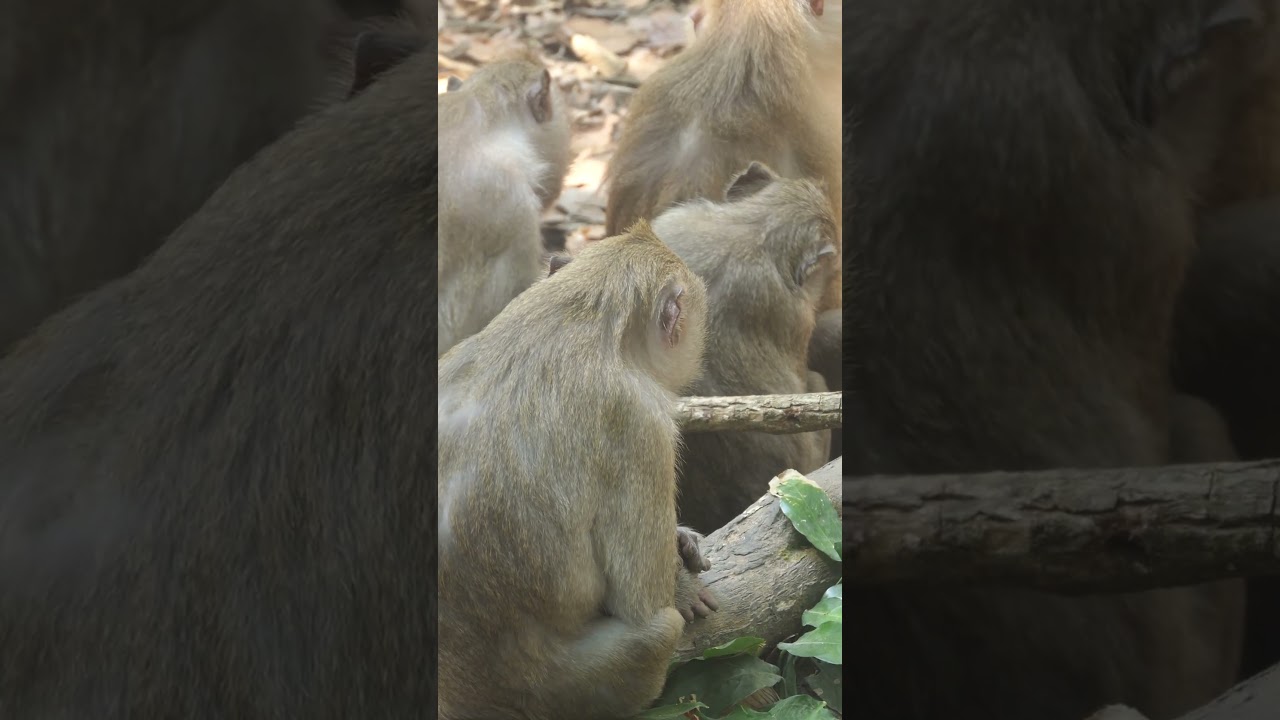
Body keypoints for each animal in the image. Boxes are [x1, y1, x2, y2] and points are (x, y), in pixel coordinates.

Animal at [438, 222, 712, 720]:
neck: (573, 316)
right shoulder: (640, 424)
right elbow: (642, 603)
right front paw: (679, 582)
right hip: (562, 691)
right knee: (657, 632)